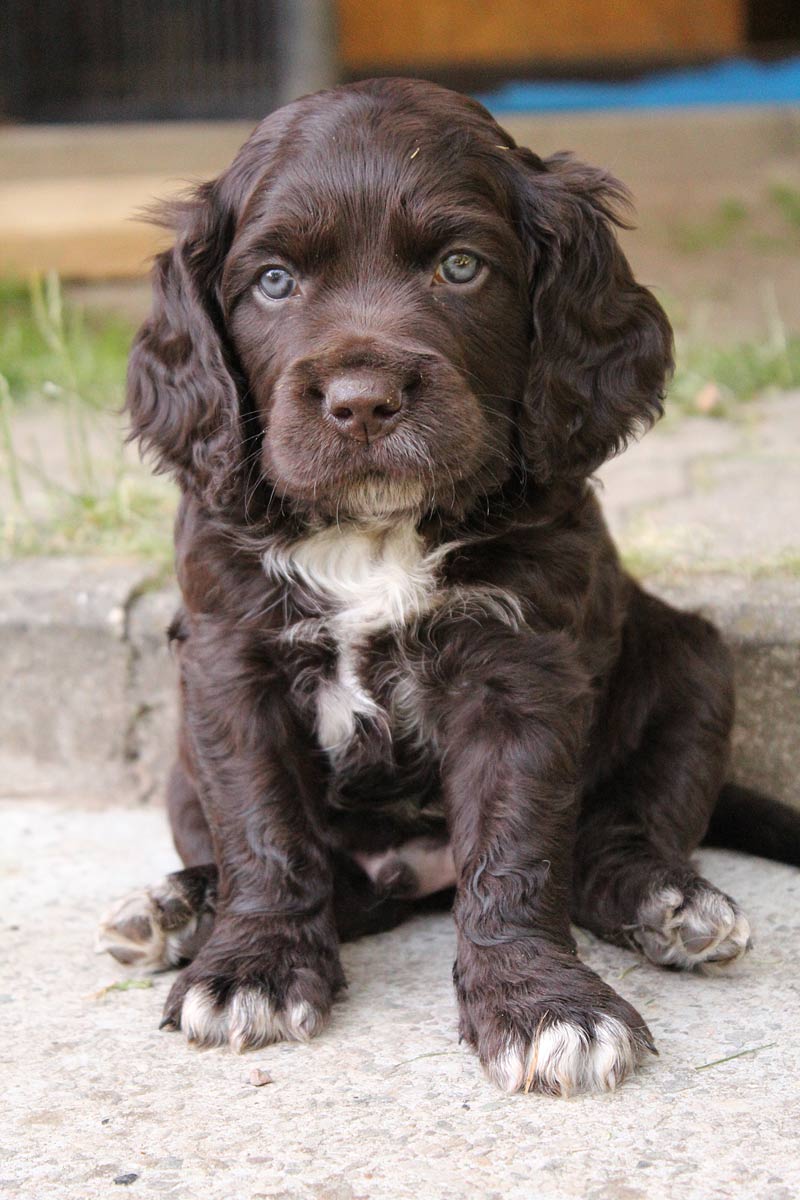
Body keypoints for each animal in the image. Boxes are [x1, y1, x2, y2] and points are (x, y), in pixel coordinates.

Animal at [101, 77, 800, 1099]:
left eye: (460, 267)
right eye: (273, 282)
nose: (360, 401)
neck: (374, 533)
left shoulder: (520, 667)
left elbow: (517, 845)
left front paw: (546, 1006)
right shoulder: (229, 660)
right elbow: (263, 826)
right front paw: (252, 968)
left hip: (695, 666)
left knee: (617, 836)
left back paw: (673, 903)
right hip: (182, 765)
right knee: (322, 879)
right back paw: (179, 908)